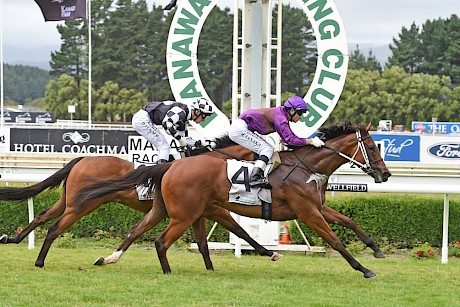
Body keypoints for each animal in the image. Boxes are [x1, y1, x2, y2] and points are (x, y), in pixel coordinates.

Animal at [76, 123, 392, 280]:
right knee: (160, 241)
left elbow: (349, 221)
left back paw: (110, 258)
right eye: (373, 146)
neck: (307, 167)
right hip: (183, 214)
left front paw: (376, 249)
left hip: (166, 209)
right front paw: (364, 270)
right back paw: (167, 273)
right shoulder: (307, 212)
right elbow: (335, 241)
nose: (385, 174)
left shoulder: (318, 206)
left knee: (137, 231)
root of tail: (172, 166)